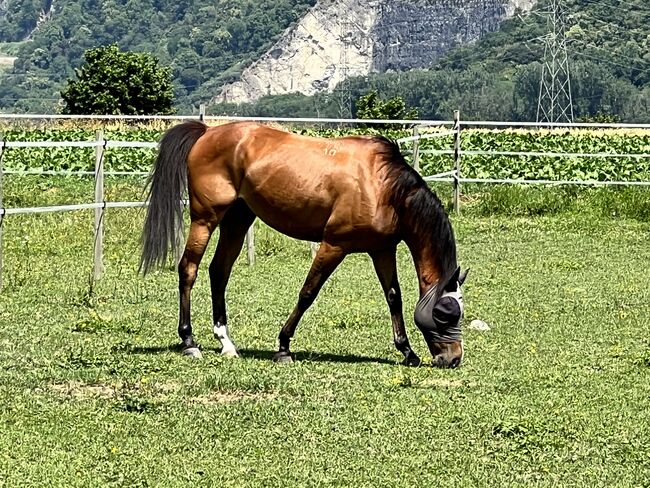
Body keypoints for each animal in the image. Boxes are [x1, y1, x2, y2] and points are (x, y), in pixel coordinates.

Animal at [140, 120, 466, 368]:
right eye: (445, 312)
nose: (453, 359)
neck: (383, 186)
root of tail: (207, 131)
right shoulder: (333, 245)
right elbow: (308, 292)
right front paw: (283, 346)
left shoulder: (382, 249)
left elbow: (393, 297)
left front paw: (408, 352)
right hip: (205, 219)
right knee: (188, 269)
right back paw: (189, 341)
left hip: (237, 220)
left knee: (219, 272)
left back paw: (226, 343)